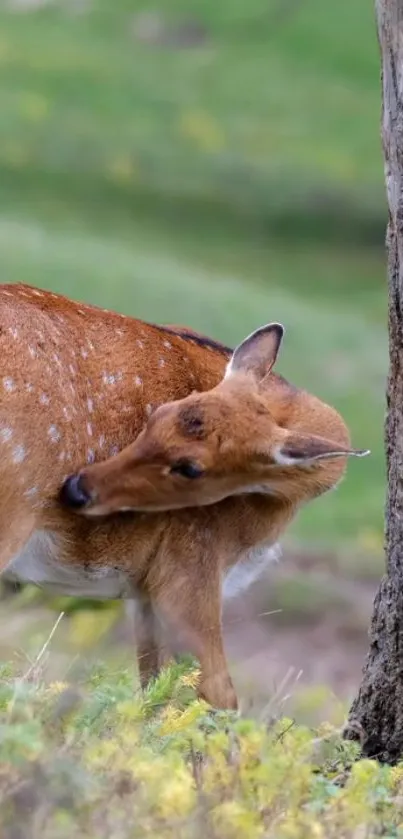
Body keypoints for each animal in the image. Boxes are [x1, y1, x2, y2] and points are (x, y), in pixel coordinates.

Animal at [0, 282, 368, 708]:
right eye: (156, 415)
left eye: (191, 468)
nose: (77, 489)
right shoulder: (190, 564)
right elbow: (218, 695)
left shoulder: (144, 594)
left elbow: (157, 690)